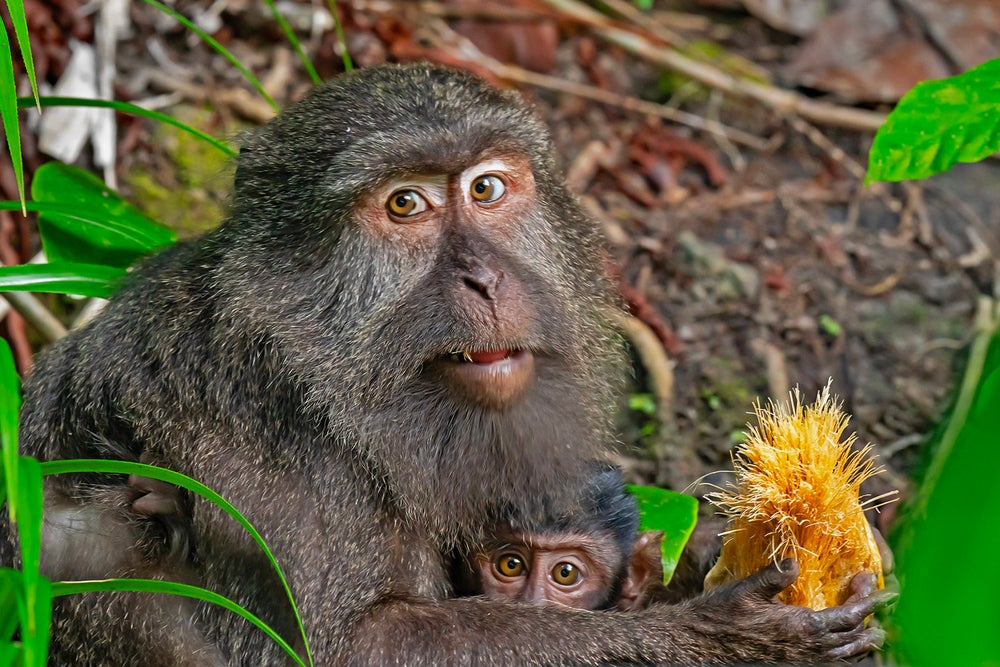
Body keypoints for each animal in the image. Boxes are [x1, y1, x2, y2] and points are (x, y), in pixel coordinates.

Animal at [1, 63, 895, 665]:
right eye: (407, 204)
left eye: (488, 188)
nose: (486, 278)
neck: (332, 387)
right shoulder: (256, 462)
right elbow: (352, 645)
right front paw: (717, 635)